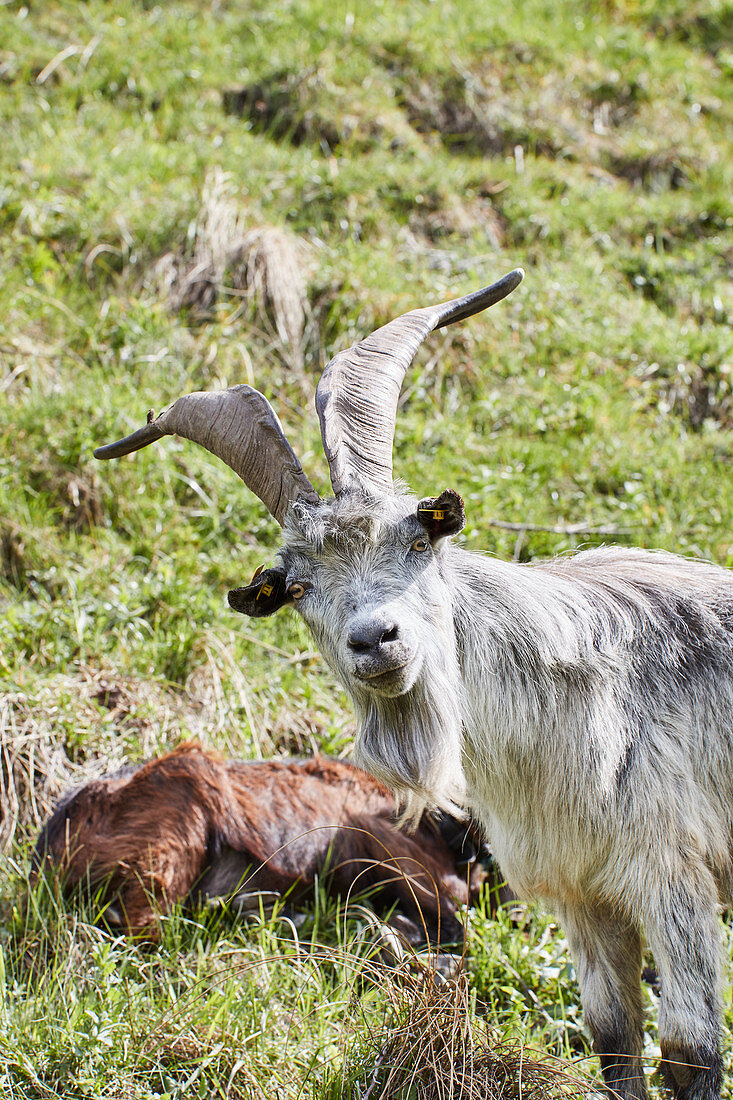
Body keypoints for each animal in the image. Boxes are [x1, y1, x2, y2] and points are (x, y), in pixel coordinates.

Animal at [94, 268, 726, 1100]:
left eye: (419, 538)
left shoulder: (672, 874)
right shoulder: (581, 893)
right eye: (296, 587)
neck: (572, 692)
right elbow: (614, 1042)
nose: (375, 640)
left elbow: (689, 1054)